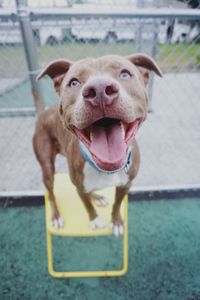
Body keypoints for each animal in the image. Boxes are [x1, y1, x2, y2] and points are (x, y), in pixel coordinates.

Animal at [32, 54, 161, 237]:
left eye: (125, 74)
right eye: (73, 82)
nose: (99, 89)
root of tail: (43, 113)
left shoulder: (125, 185)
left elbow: (116, 204)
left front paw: (116, 221)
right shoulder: (79, 186)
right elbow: (87, 205)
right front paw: (94, 220)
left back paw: (98, 197)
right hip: (47, 167)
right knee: (51, 193)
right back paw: (56, 216)